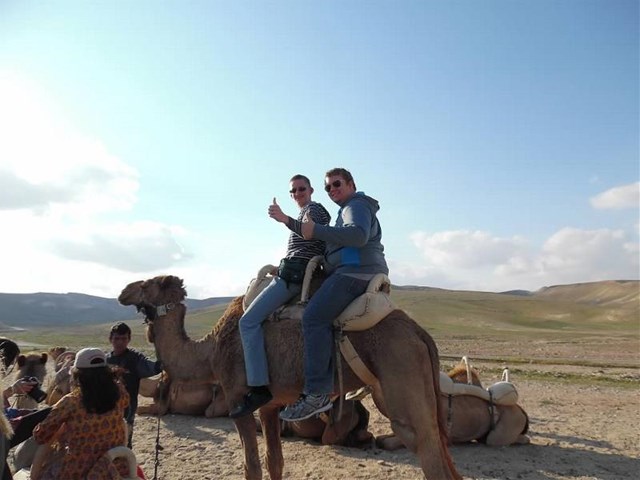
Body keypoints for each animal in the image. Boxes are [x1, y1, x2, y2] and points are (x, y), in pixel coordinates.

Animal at [119, 276, 460, 478]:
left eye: (147, 284)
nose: (123, 291)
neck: (210, 350)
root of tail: (418, 333)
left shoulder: (237, 400)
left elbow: (252, 466)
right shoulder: (271, 406)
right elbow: (275, 462)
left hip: (401, 378)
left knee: (427, 451)